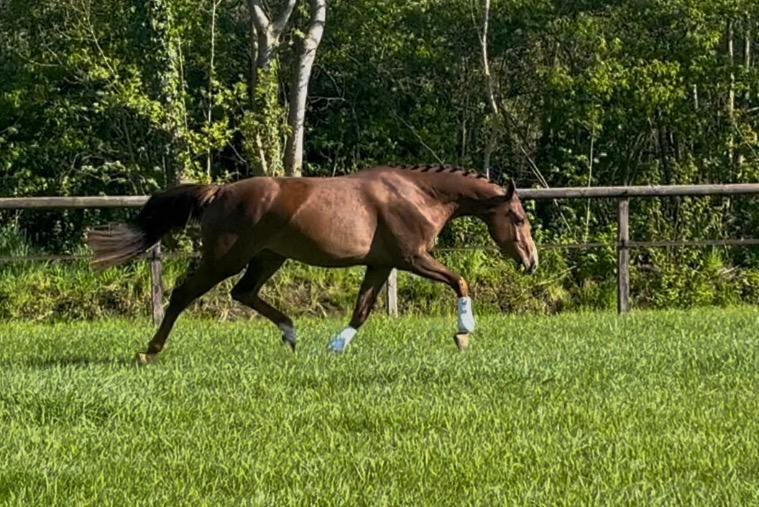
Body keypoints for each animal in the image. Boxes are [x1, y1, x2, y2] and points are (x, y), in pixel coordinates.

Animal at [88, 164, 538, 364]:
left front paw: (336, 345)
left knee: (244, 292)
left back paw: (290, 334)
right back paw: (149, 351)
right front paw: (464, 332)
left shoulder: (381, 264)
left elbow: (362, 309)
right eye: (518, 218)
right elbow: (460, 281)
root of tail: (218, 192)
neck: (414, 194)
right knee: (183, 295)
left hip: (269, 257)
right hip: (225, 258)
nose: (531, 262)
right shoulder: (412, 258)